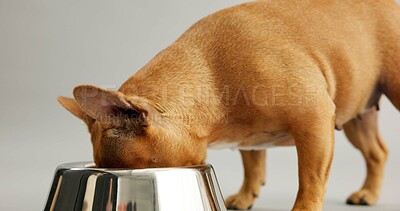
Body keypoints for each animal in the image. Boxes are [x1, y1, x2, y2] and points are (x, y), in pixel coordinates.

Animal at [57, 0, 398, 210]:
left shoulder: (313, 119)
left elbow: (311, 179)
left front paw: (303, 207)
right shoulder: (250, 138)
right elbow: (253, 163)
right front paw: (247, 194)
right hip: (357, 116)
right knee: (376, 152)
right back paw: (369, 193)